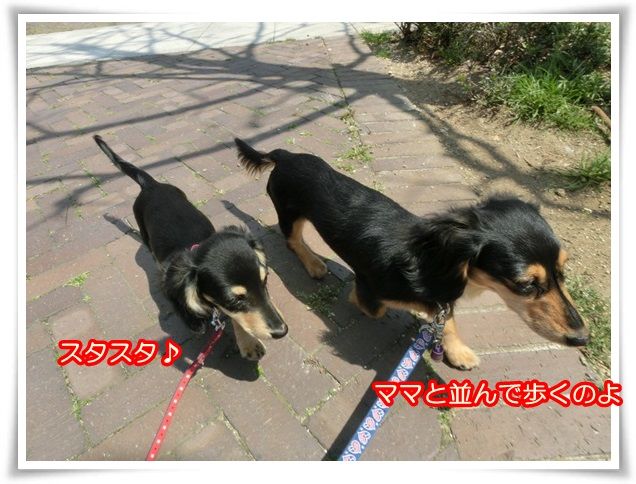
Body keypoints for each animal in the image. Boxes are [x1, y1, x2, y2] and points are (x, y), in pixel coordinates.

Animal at [233, 138, 588, 370]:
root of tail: (285, 155)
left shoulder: (445, 298)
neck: (428, 260)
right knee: (292, 240)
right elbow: (379, 306)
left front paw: (457, 351)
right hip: (290, 214)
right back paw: (313, 263)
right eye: (525, 285)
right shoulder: (373, 288)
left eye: (563, 271)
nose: (582, 338)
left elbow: (448, 319)